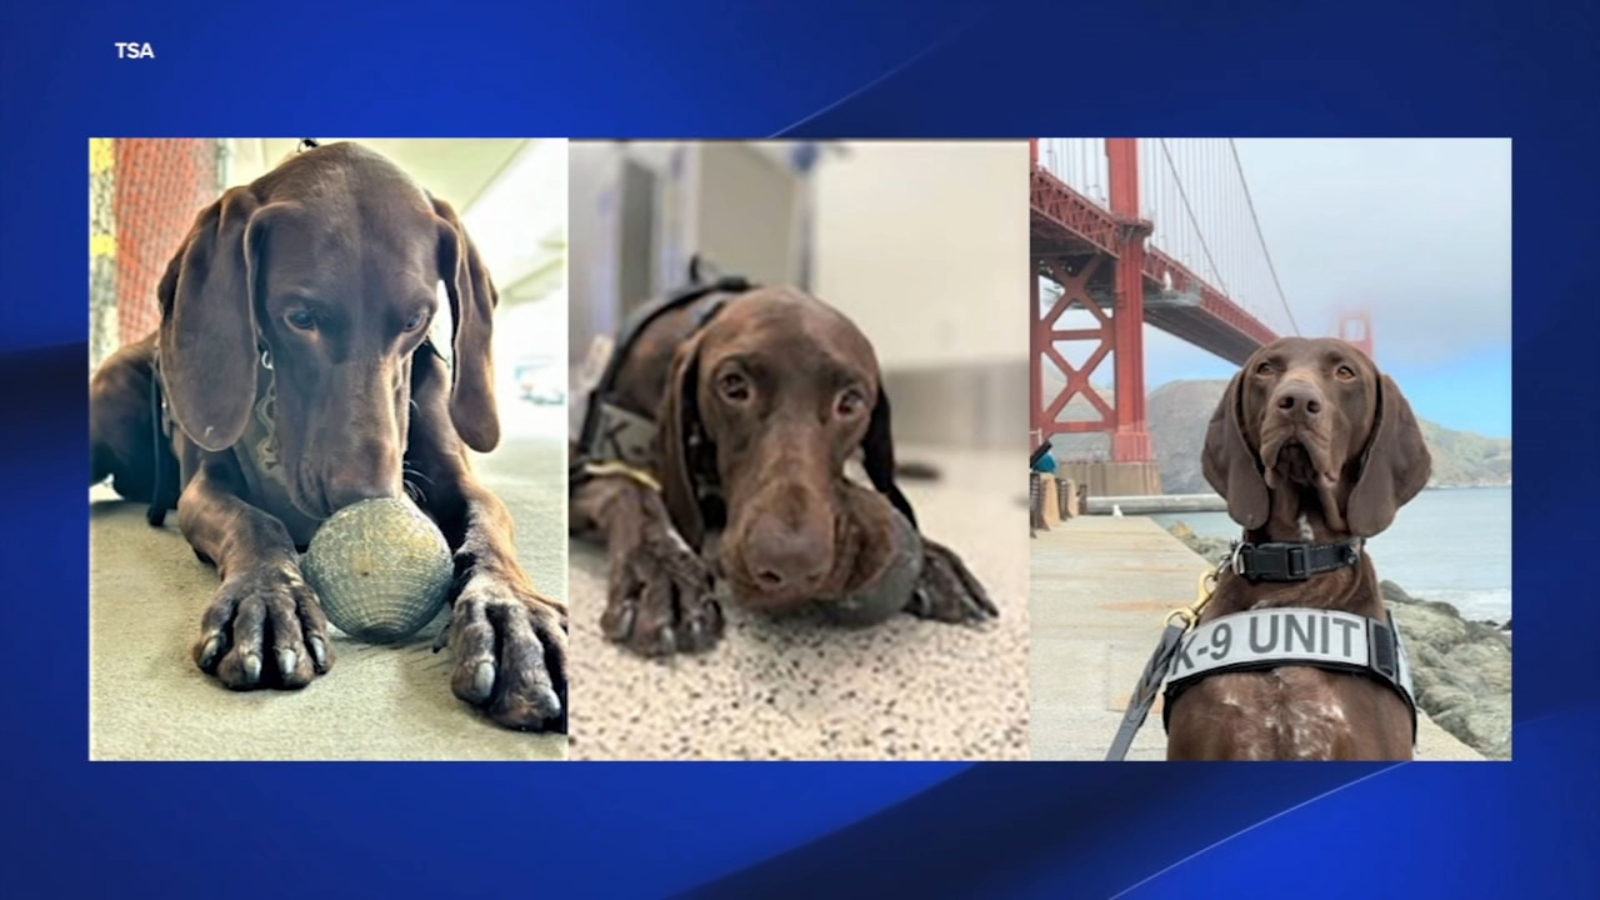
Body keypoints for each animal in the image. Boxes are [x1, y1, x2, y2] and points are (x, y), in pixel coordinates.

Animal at [90, 140, 569, 730]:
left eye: (416, 320)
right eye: (300, 317)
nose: (365, 500)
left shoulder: (455, 475)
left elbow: (487, 527)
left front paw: (512, 614)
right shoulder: (204, 485)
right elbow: (254, 521)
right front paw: (269, 598)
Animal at [572, 283, 998, 656]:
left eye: (850, 401)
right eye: (733, 385)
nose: (791, 567)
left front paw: (933, 557)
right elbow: (629, 488)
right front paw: (665, 573)